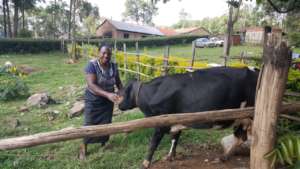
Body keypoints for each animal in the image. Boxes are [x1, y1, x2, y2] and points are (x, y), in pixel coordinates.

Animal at [117, 66, 258, 168]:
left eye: (123, 93)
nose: (119, 105)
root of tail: (254, 70)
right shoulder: (176, 120)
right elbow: (175, 139)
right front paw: (170, 156)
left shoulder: (161, 123)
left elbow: (153, 144)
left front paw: (145, 163)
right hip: (240, 119)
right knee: (241, 137)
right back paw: (223, 157)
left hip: (250, 115)